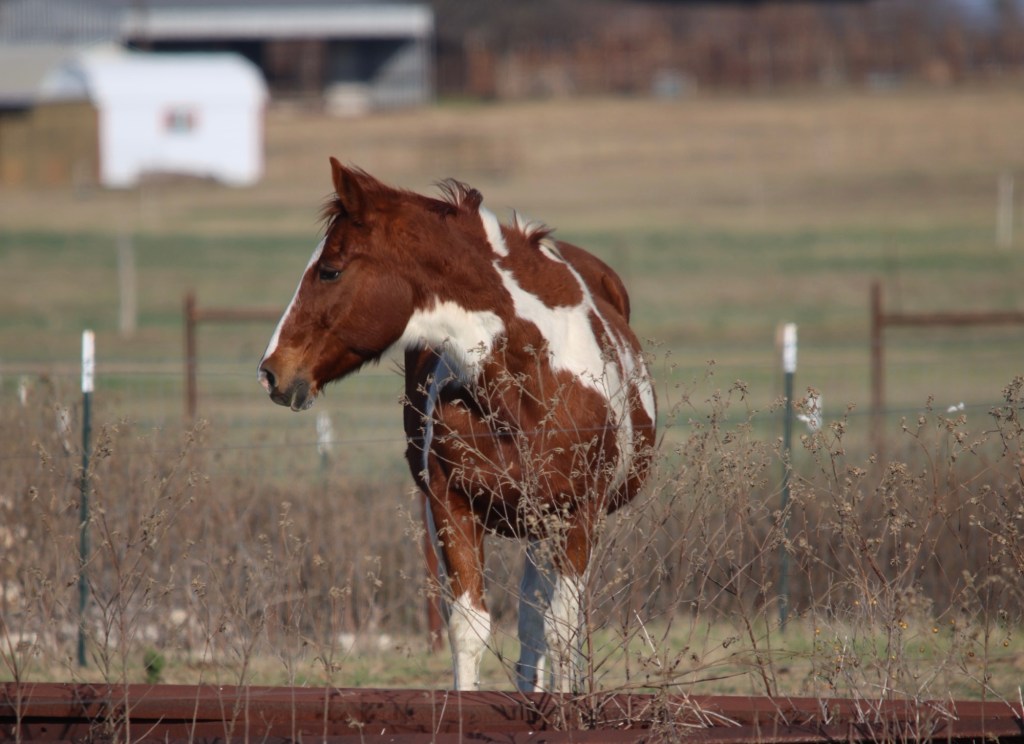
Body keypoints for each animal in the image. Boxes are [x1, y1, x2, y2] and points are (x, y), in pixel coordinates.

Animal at [258, 159, 657, 692]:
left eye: (329, 271)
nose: (271, 372)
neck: (529, 386)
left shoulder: (579, 514)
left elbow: (562, 629)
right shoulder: (452, 508)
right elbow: (470, 629)